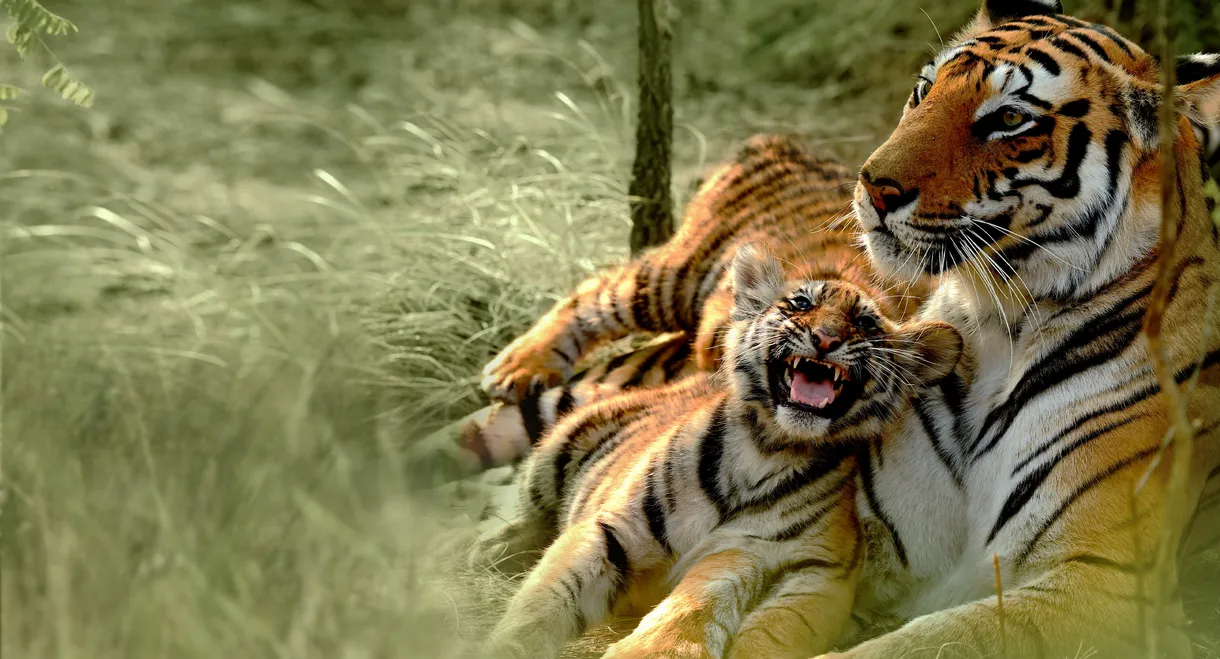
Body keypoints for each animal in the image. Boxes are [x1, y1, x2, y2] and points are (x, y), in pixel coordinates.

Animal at [470, 245, 963, 659]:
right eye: (800, 304)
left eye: (866, 324)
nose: (826, 338)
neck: (766, 448)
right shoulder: (611, 529)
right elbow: (542, 603)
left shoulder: (768, 553)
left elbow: (725, 610)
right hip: (558, 445)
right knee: (531, 510)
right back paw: (489, 548)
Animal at [816, 1, 1220, 657]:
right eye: (923, 91)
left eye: (1008, 119)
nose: (873, 185)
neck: (995, 322)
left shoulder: (1104, 585)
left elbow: (923, 642)